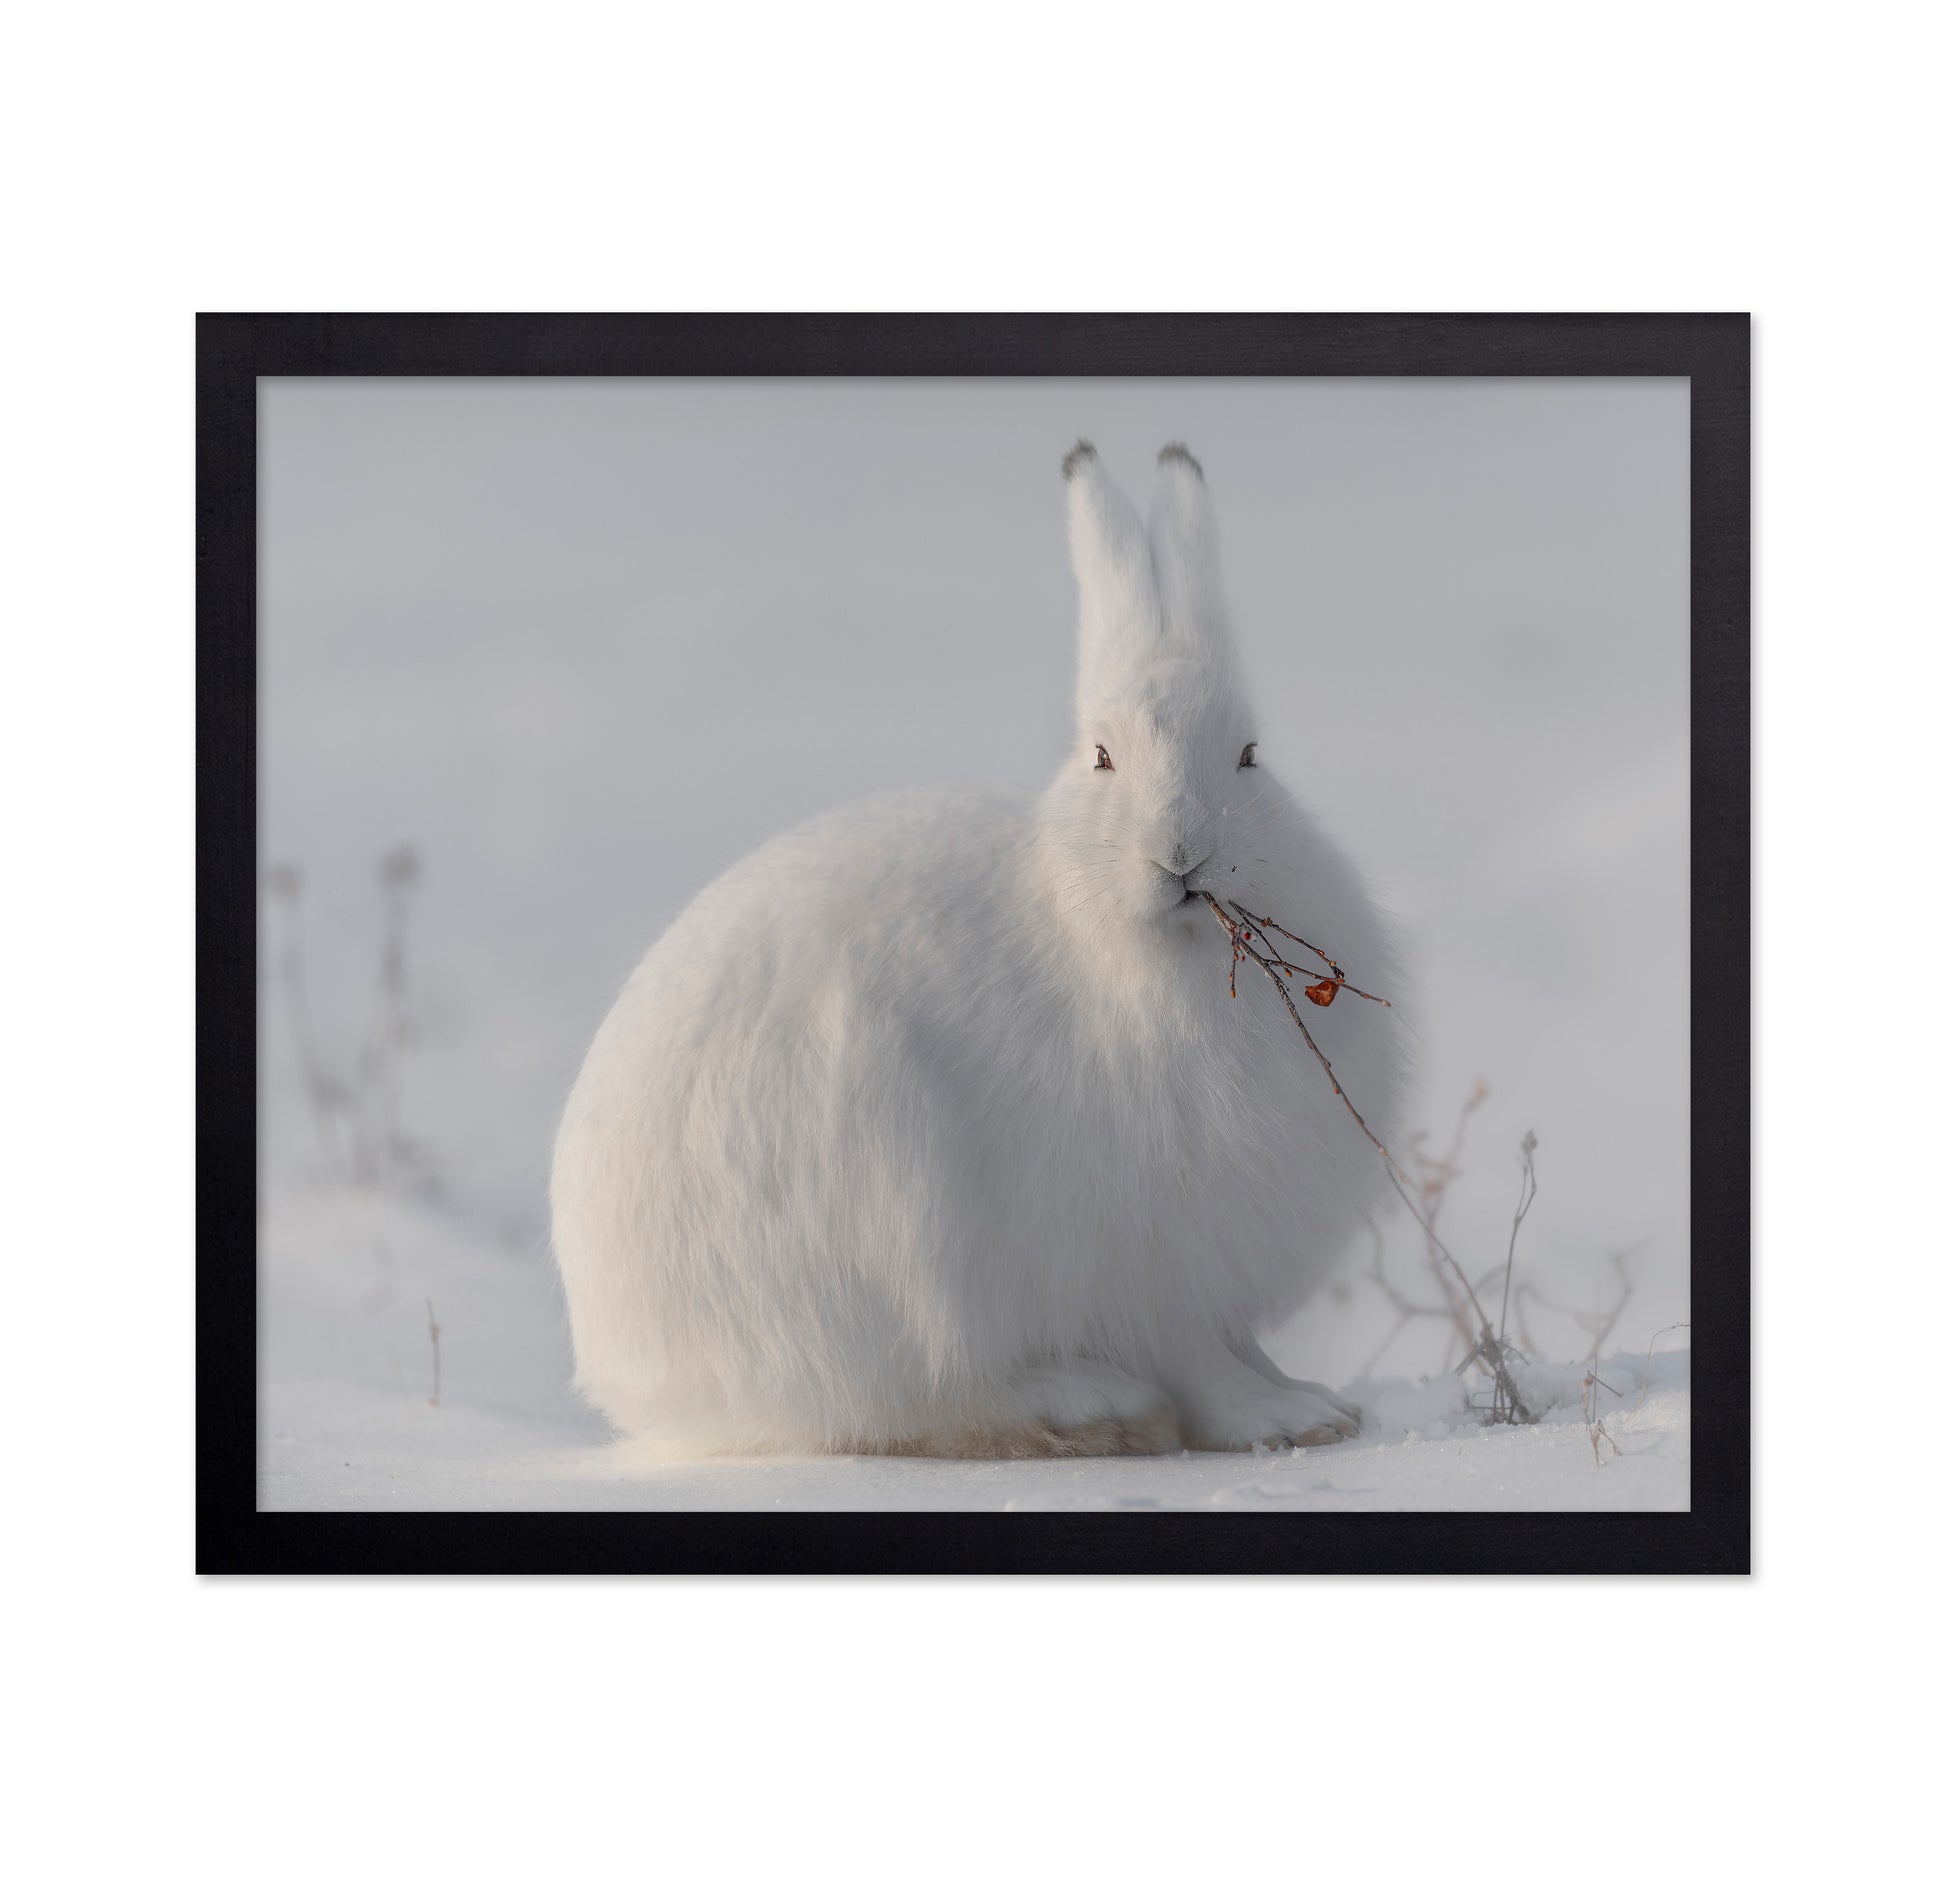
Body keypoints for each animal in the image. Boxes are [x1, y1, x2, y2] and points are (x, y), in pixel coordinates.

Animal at [550, 441, 1410, 1457]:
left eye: (1249, 756)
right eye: (1103, 757)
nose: (1183, 852)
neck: (1137, 947)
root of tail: (627, 1369)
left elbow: (1241, 1347)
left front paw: (1317, 1401)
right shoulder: (1149, 1261)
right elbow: (1202, 1363)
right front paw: (1281, 1420)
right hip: (890, 1224)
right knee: (918, 1397)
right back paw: (1091, 1401)